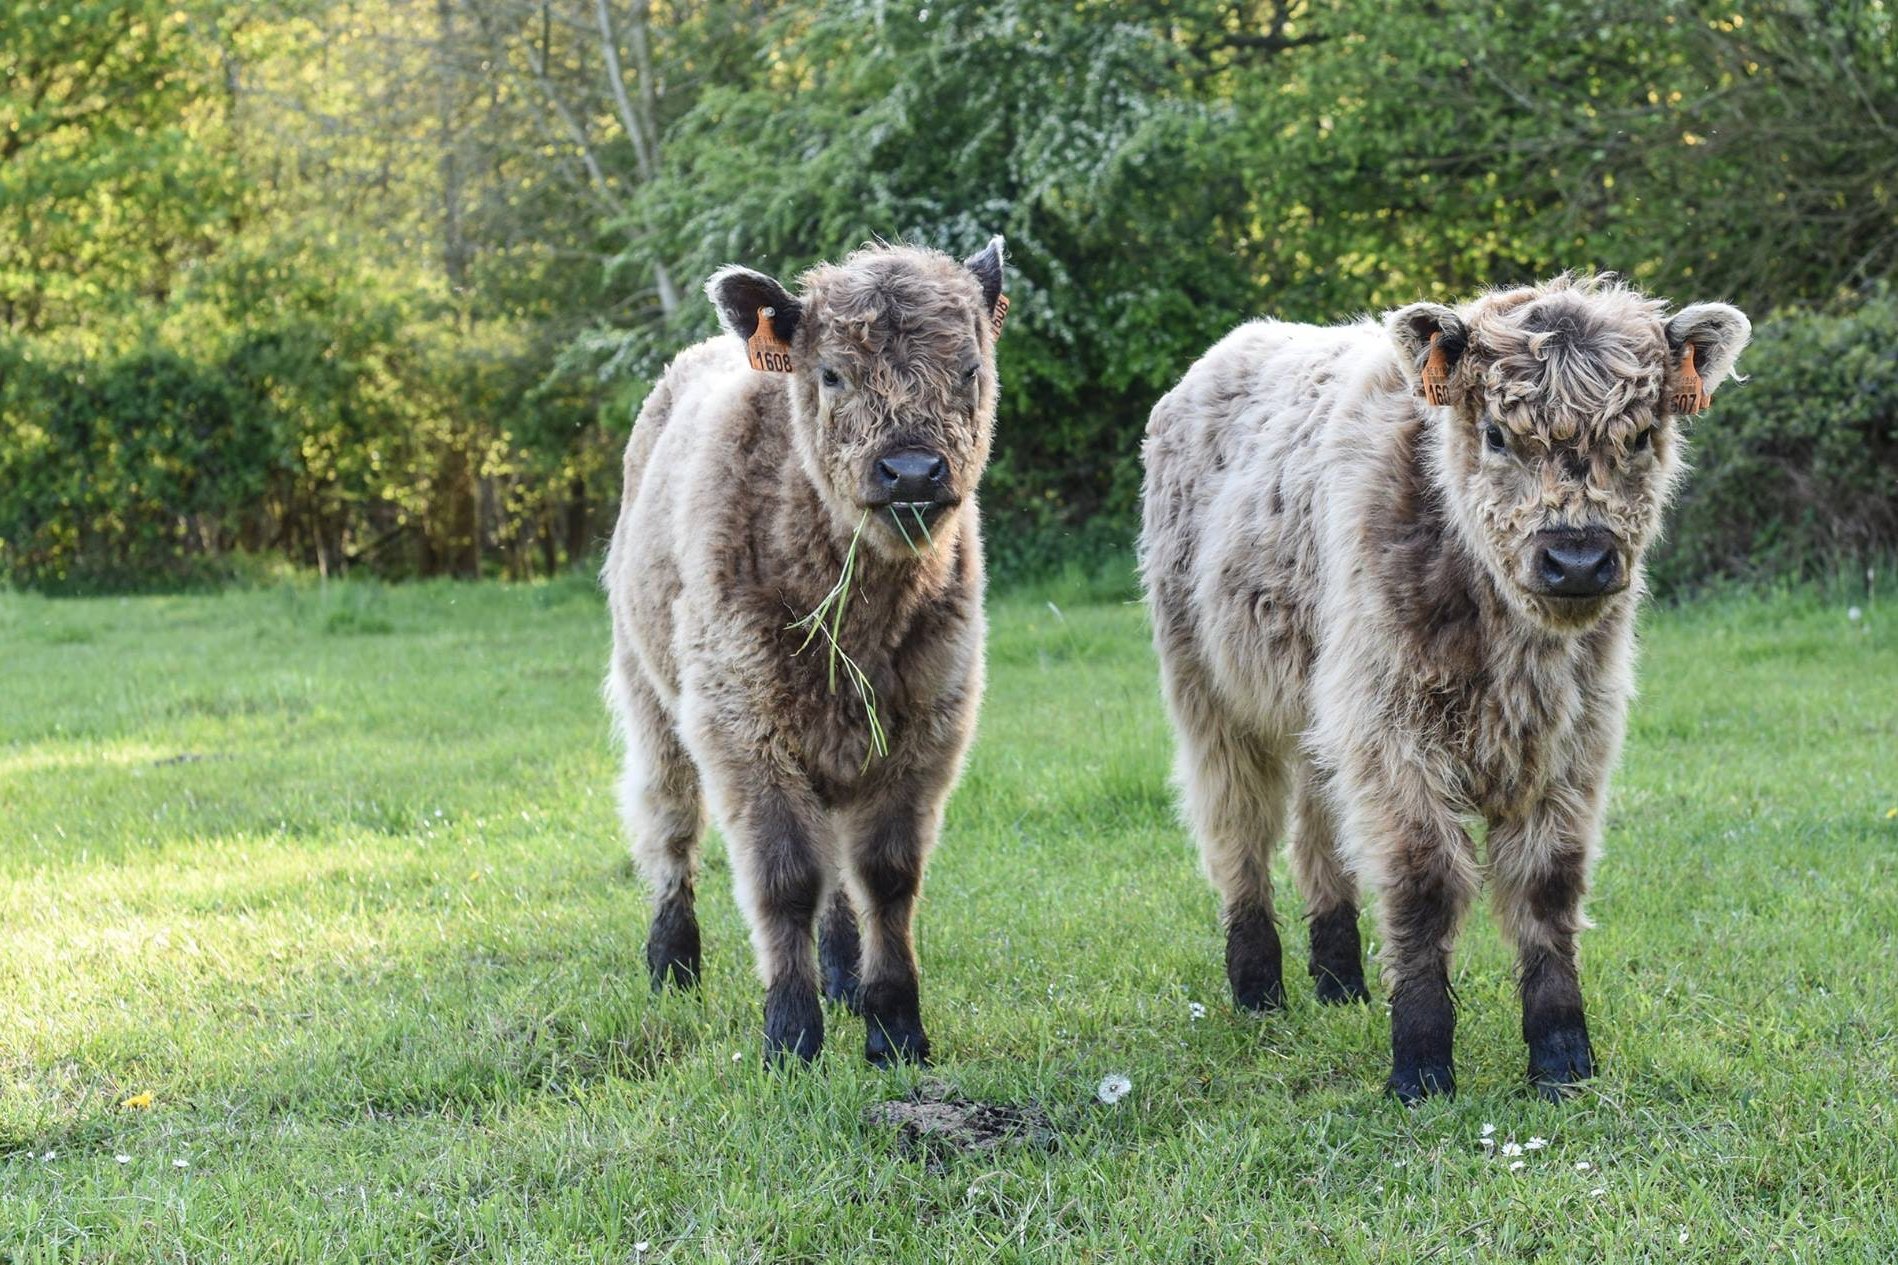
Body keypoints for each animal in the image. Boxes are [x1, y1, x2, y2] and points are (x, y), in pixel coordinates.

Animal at [607, 239, 1009, 1063]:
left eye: (969, 369)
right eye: (831, 374)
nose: (912, 471)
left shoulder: (929, 723)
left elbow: (885, 875)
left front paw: (894, 1023)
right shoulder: (741, 727)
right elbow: (785, 878)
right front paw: (791, 1034)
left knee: (838, 877)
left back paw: (844, 974)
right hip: (650, 696)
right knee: (669, 823)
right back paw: (672, 962)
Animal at [1138, 273, 1746, 1094]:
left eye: (1642, 435)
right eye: (1495, 433)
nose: (1577, 560)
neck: (1510, 653)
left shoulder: (1577, 736)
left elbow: (1548, 885)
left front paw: (1562, 1055)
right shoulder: (1392, 728)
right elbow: (1424, 882)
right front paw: (1421, 1062)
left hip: (1320, 706)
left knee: (1317, 828)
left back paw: (1339, 980)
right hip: (1210, 689)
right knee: (1237, 825)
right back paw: (1259, 987)